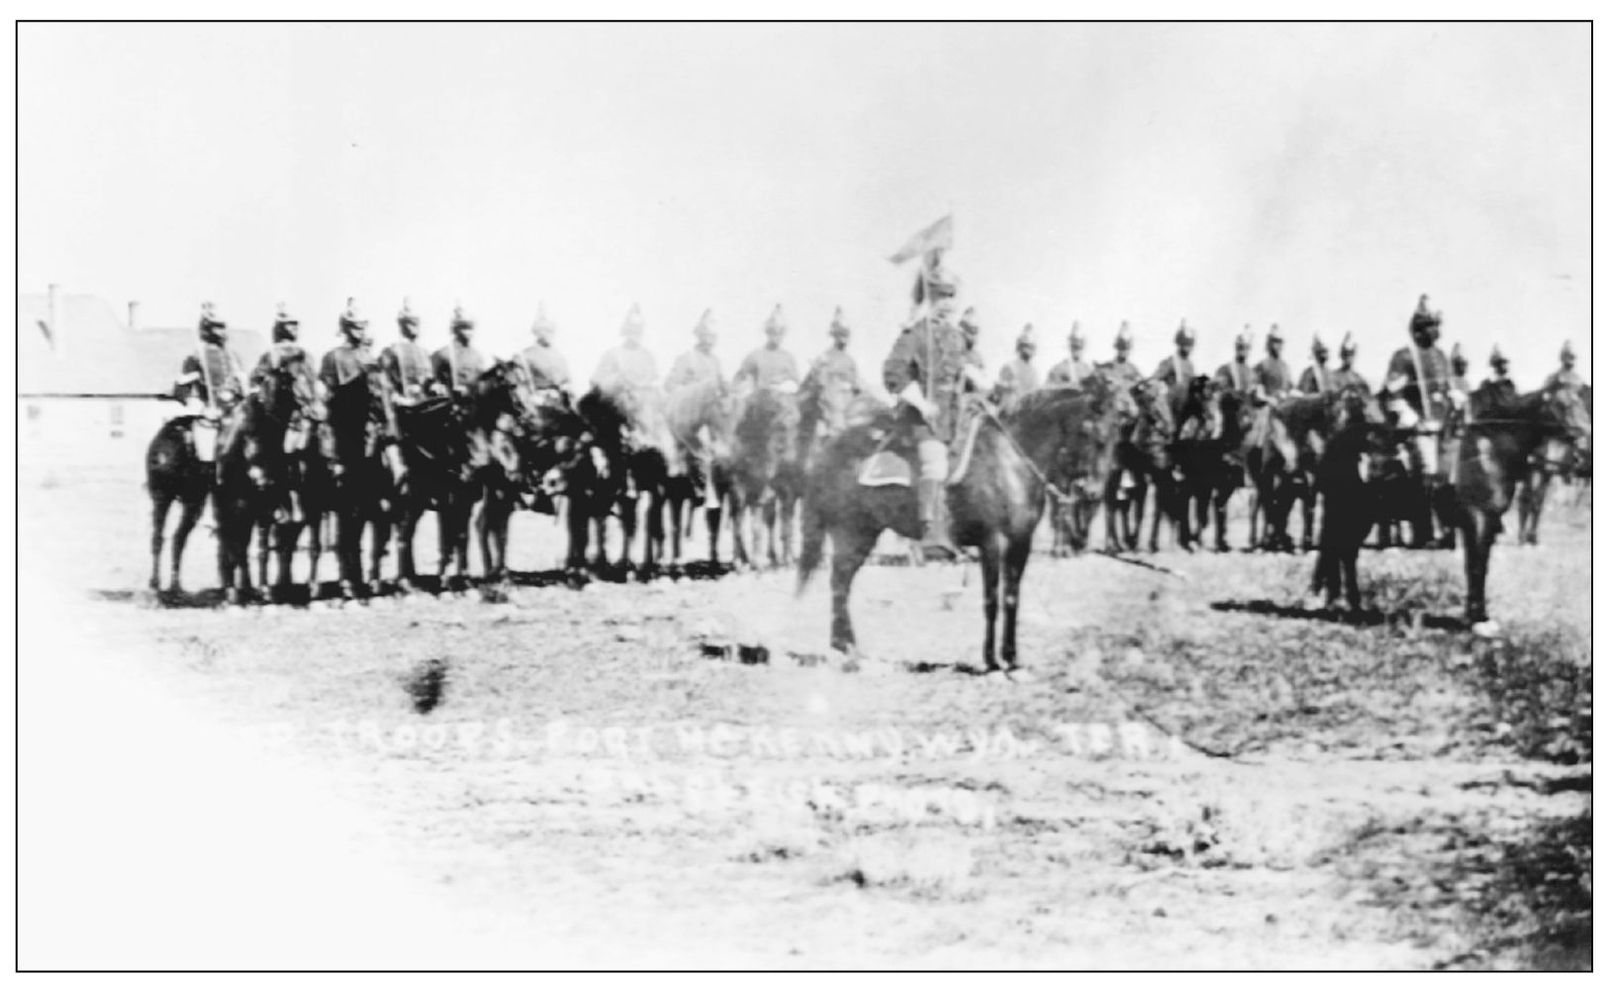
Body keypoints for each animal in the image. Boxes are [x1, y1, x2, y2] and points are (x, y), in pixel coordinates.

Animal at [795, 383, 1121, 673]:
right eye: (1091, 434)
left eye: (1114, 438)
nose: (1093, 492)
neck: (1008, 464)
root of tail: (829, 450)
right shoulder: (992, 543)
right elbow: (991, 600)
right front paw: (991, 660)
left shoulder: (1020, 544)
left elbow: (1011, 598)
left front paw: (1011, 658)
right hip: (851, 533)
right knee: (839, 583)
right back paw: (847, 649)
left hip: (862, 534)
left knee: (841, 582)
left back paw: (846, 646)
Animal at [1449, 378, 1585, 631]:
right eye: (1563, 404)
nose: (1583, 445)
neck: (1490, 451)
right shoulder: (1478, 517)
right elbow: (1477, 566)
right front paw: (1479, 620)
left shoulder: (1489, 519)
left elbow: (1478, 565)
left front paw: (1475, 615)